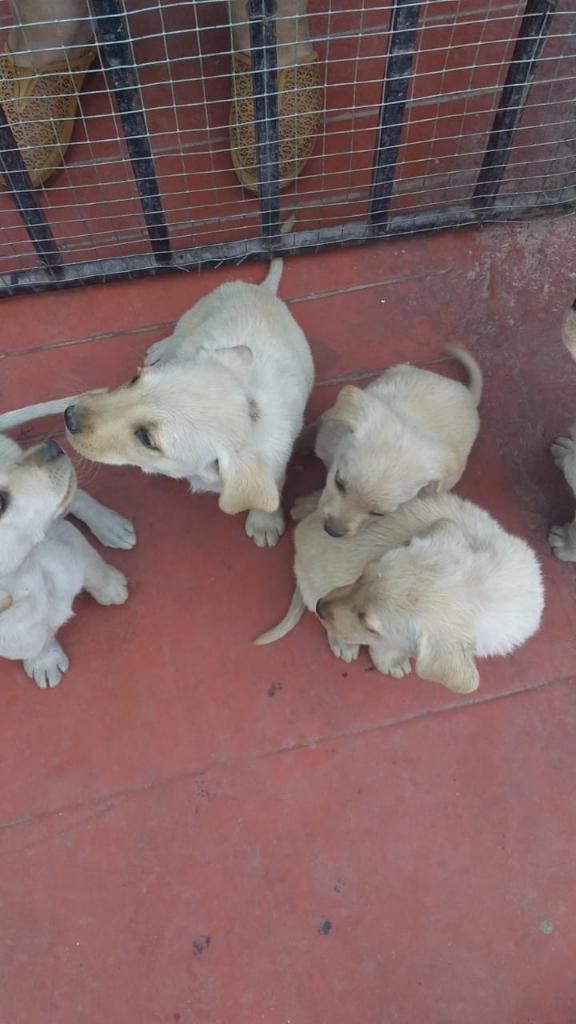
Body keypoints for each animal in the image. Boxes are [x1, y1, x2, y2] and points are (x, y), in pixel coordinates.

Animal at [0, 403, 134, 684]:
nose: (51, 447)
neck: (25, 575)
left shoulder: (66, 537)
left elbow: (95, 569)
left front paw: (112, 588)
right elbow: (31, 643)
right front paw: (44, 660)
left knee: (76, 498)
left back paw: (110, 526)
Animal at [62, 260, 311, 548]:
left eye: (146, 438)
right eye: (135, 379)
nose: (68, 416)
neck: (252, 414)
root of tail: (260, 290)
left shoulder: (278, 457)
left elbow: (272, 485)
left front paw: (264, 521)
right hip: (195, 315)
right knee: (178, 335)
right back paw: (162, 349)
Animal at [255, 489, 541, 696]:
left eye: (369, 626)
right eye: (362, 574)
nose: (321, 606)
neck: (491, 586)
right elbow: (385, 649)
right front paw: (391, 663)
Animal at [295, 350, 479, 540]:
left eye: (378, 514)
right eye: (339, 483)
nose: (332, 531)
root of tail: (468, 396)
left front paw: (304, 506)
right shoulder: (329, 427)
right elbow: (315, 428)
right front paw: (301, 439)